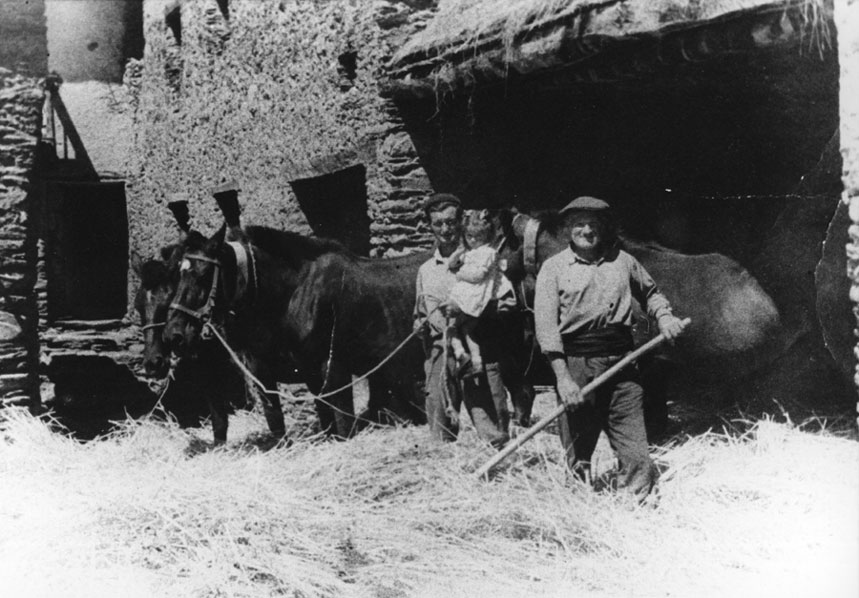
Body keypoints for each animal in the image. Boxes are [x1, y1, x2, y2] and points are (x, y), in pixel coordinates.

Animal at [163, 227, 428, 438]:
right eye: (177, 275)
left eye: (204, 274)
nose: (173, 335)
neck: (294, 293)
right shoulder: (281, 372)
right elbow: (285, 418)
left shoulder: (333, 367)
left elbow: (342, 420)